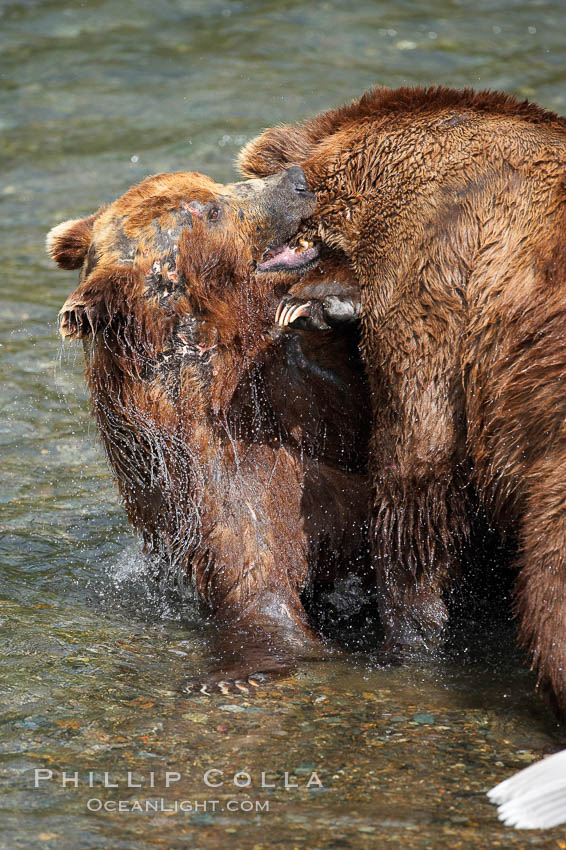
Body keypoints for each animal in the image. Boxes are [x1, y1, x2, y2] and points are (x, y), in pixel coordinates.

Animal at [47, 169, 371, 692]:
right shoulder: (215, 483)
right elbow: (257, 591)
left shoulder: (302, 400)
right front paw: (233, 674)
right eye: (212, 210)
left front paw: (329, 302)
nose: (297, 180)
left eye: (212, 184)